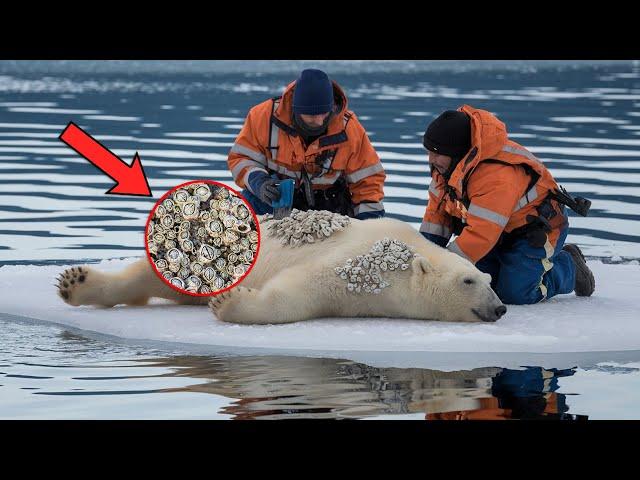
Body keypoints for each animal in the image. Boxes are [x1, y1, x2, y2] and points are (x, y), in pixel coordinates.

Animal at [55, 211, 508, 326]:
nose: (500, 307)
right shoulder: (356, 263)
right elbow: (296, 289)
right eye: (468, 279)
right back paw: (77, 282)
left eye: (490, 279)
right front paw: (230, 300)